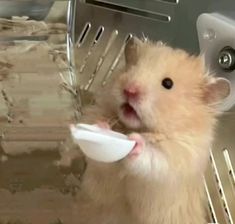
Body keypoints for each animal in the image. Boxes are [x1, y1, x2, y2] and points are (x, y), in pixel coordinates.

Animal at [75, 37, 229, 224]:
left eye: (168, 83)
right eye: (132, 68)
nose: (129, 90)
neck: (135, 127)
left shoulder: (177, 159)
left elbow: (154, 157)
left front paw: (136, 142)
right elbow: (100, 158)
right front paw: (103, 126)